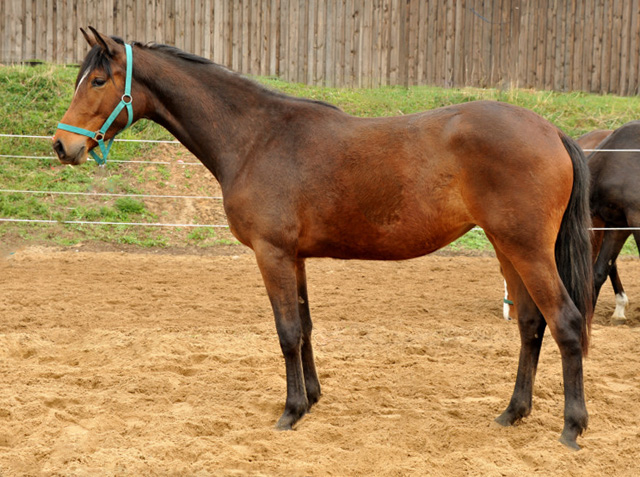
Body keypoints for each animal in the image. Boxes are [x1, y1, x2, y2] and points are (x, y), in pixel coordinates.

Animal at [51, 28, 596, 446]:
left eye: (97, 80)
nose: (61, 145)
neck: (256, 137)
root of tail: (551, 131)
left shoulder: (271, 254)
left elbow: (287, 331)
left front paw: (291, 411)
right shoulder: (295, 257)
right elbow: (307, 326)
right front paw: (311, 398)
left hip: (528, 250)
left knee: (566, 323)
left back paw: (572, 428)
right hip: (508, 249)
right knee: (530, 324)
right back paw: (513, 412)